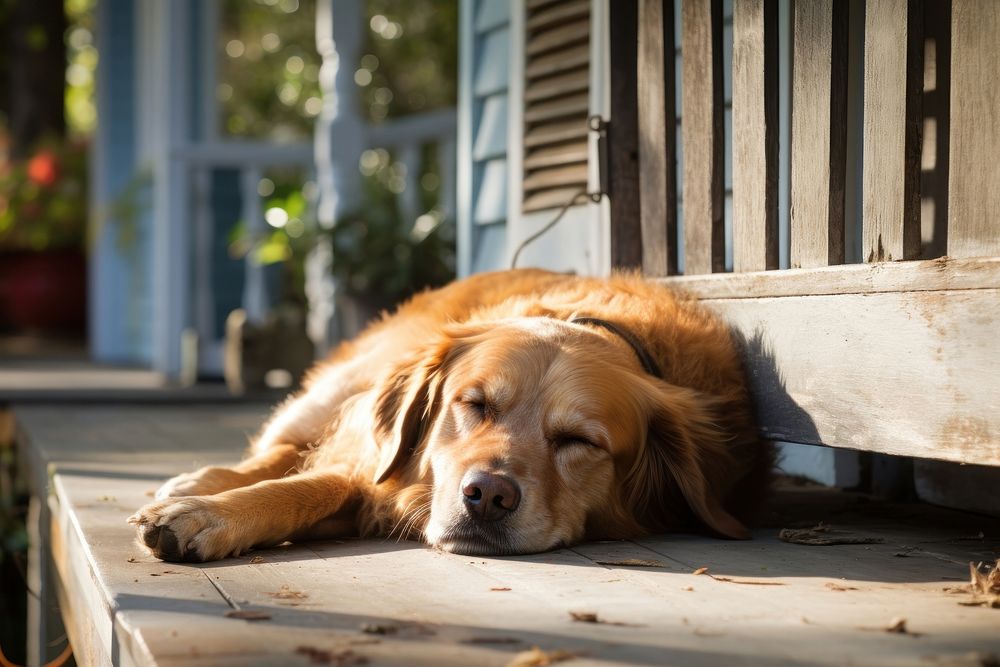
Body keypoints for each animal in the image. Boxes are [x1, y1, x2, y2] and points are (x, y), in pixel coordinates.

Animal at [129, 268, 768, 560]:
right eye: (475, 404)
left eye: (579, 441)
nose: (488, 496)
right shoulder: (387, 468)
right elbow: (314, 481)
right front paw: (205, 512)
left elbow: (322, 484)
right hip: (343, 387)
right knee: (285, 446)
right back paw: (198, 480)